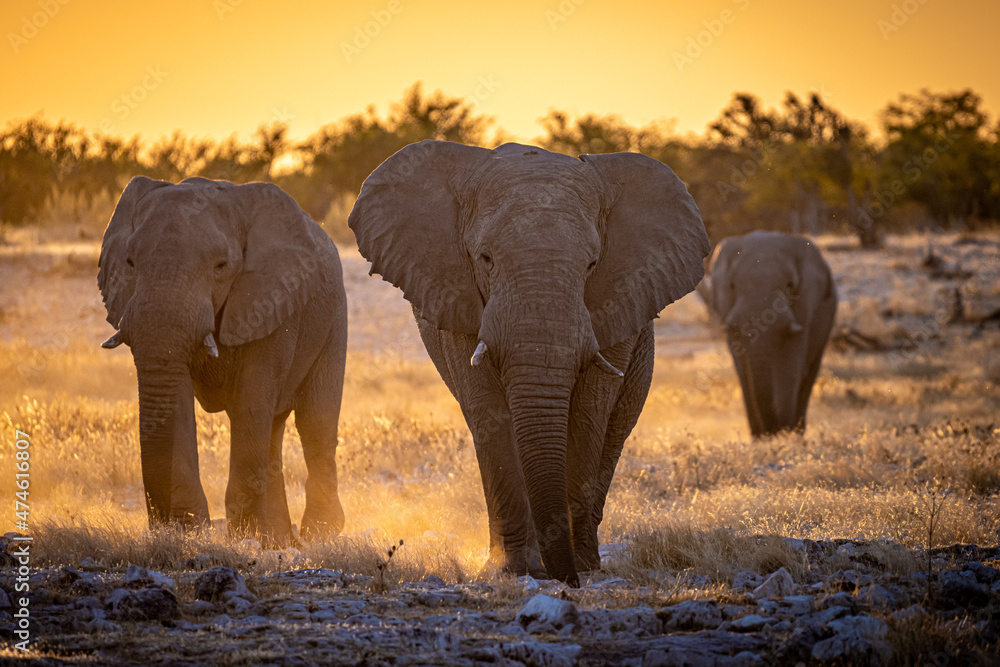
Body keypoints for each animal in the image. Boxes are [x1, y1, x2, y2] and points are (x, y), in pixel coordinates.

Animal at [98, 177, 348, 548]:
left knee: (315, 421)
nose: (159, 524)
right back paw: (277, 541)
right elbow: (177, 400)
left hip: (334, 320)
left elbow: (250, 402)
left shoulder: (272, 300)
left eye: (221, 266)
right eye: (129, 262)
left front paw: (241, 536)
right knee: (273, 430)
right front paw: (188, 532)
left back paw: (318, 534)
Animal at [348, 140, 708, 584]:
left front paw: (577, 566)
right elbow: (491, 413)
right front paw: (514, 569)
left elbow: (587, 413)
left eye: (592, 264)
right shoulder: (459, 297)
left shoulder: (619, 298)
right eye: (485, 258)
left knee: (613, 434)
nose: (566, 580)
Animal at [708, 230, 840, 438]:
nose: (773, 431)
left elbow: (791, 358)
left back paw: (797, 432)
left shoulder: (805, 305)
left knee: (809, 373)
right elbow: (742, 366)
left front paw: (786, 434)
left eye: (790, 285)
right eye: (732, 285)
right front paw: (762, 438)